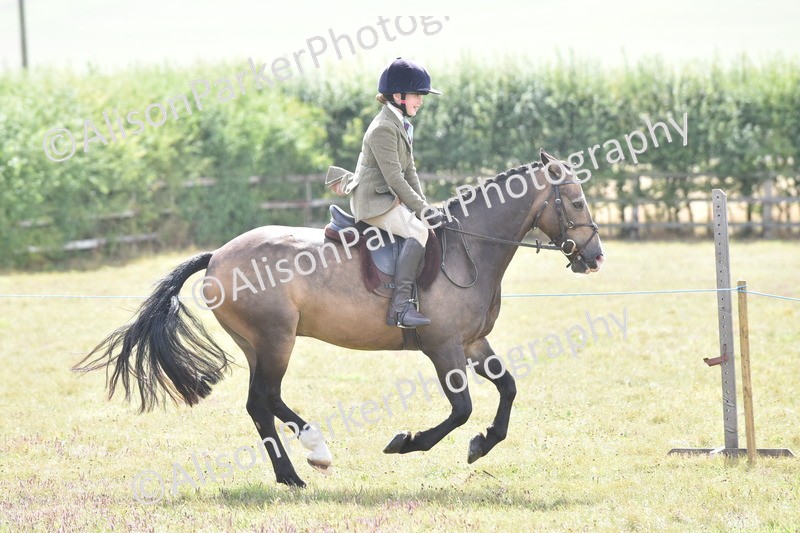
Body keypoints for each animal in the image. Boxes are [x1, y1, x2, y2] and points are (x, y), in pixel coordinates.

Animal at [74, 149, 604, 488]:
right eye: (577, 202)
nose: (595, 257)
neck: (468, 248)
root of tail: (219, 254)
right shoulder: (444, 348)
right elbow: (461, 409)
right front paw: (406, 443)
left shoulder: (474, 344)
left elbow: (508, 389)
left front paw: (482, 445)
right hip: (275, 339)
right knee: (264, 399)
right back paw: (311, 457)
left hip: (259, 344)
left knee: (261, 403)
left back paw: (292, 472)